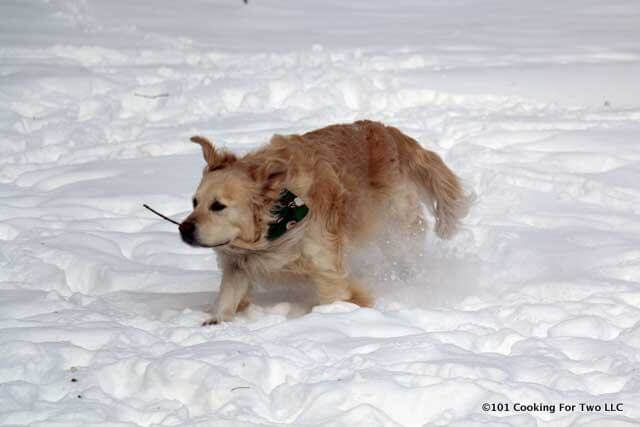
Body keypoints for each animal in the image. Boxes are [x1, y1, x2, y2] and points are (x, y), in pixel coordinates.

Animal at [180, 118, 470, 326]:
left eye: (218, 206)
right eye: (194, 202)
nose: (184, 229)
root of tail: (386, 131)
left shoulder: (327, 268)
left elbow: (336, 297)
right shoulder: (237, 264)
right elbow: (228, 297)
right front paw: (215, 321)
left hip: (397, 231)